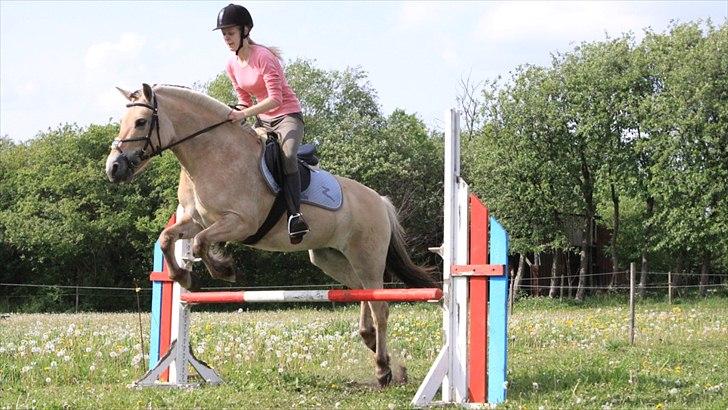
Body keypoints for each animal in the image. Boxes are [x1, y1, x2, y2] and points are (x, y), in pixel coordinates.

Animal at [104, 83, 437, 386]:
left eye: (141, 122)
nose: (113, 168)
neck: (212, 156)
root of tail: (379, 200)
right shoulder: (195, 221)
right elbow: (167, 238)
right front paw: (183, 277)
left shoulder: (240, 223)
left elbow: (200, 244)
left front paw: (223, 269)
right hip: (331, 258)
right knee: (363, 293)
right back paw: (376, 347)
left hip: (367, 256)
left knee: (380, 304)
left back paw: (383, 370)